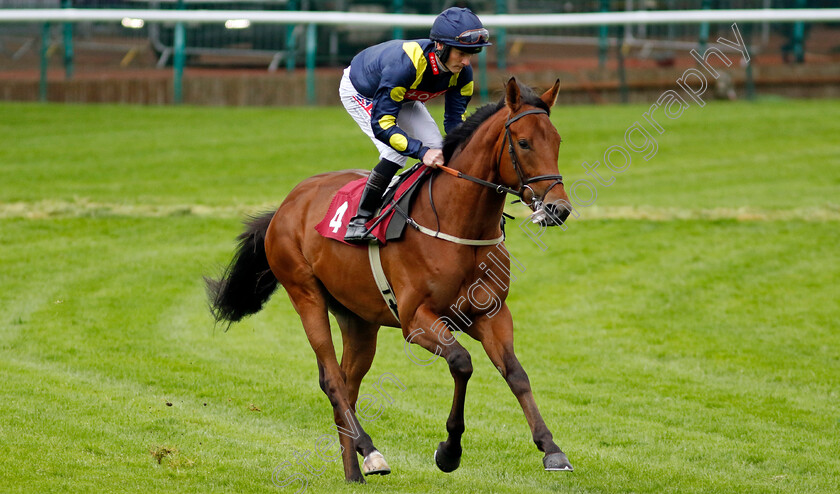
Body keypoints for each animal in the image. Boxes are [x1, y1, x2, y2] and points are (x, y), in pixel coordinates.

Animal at [209, 77, 576, 482]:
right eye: (524, 143)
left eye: (557, 140)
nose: (558, 209)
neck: (458, 224)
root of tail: (287, 204)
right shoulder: (416, 321)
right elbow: (462, 363)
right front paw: (449, 451)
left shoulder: (490, 313)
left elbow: (516, 373)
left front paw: (552, 449)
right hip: (305, 294)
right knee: (332, 379)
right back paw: (371, 452)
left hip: (358, 319)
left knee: (348, 385)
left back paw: (353, 472)